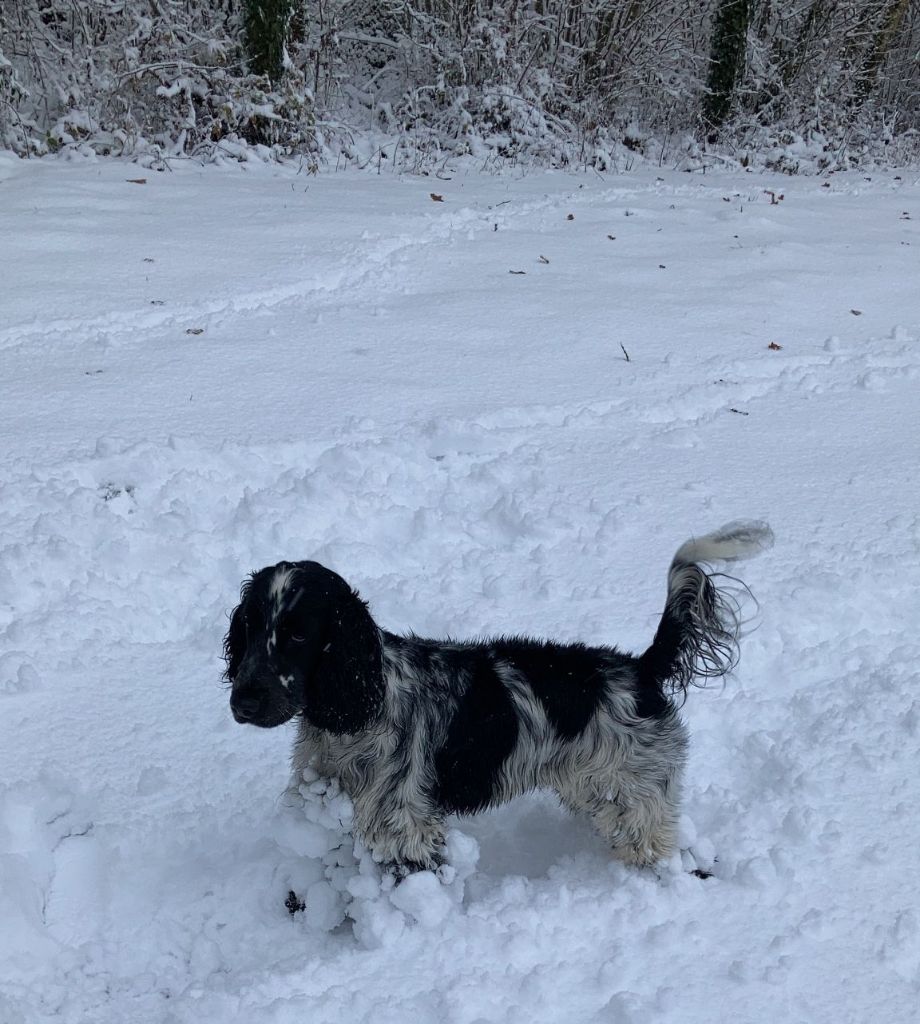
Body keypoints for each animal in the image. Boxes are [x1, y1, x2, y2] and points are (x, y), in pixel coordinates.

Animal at [225, 520, 770, 872]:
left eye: (298, 634)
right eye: (249, 625)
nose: (243, 702)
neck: (358, 702)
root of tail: (641, 667)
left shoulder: (402, 824)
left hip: (637, 794)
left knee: (662, 846)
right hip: (598, 788)